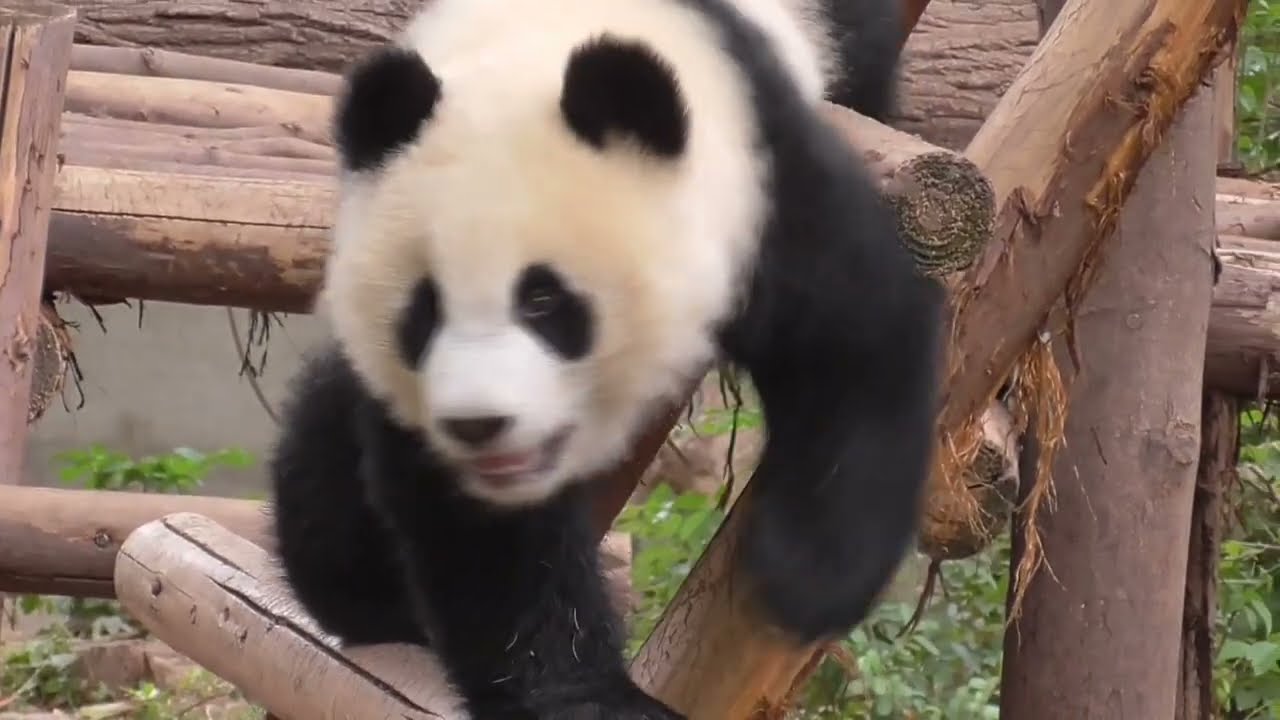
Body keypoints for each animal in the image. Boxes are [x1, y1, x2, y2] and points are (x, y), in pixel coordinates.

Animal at [268, 0, 942, 716]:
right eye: (423, 310)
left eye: (543, 300)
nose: (480, 426)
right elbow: (488, 543)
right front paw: (590, 696)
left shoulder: (763, 179)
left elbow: (856, 338)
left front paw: (809, 578)